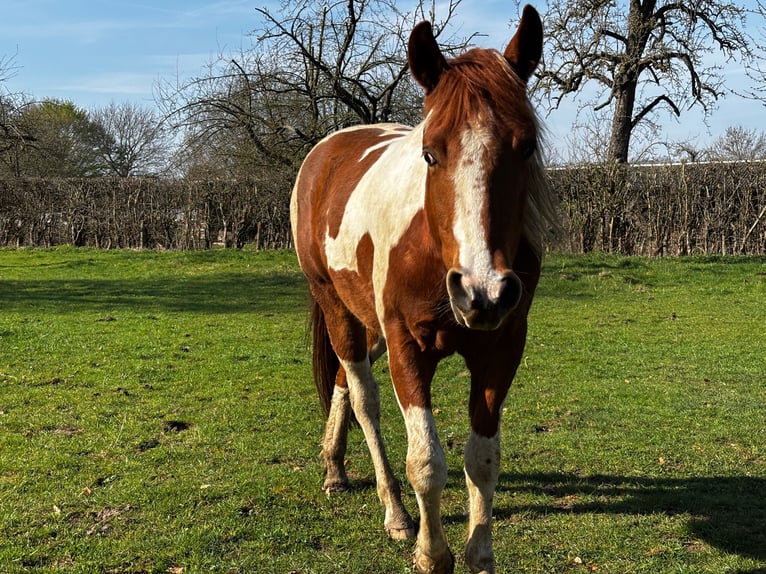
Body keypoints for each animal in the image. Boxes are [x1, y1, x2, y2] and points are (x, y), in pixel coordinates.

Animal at [290, 6, 558, 573]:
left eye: (525, 146)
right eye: (431, 154)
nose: (482, 292)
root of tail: (328, 147)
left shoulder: (502, 349)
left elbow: (482, 459)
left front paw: (480, 554)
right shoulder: (407, 347)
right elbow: (426, 461)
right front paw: (431, 553)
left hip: (363, 319)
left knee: (344, 379)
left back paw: (335, 467)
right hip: (337, 306)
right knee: (364, 398)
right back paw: (392, 510)